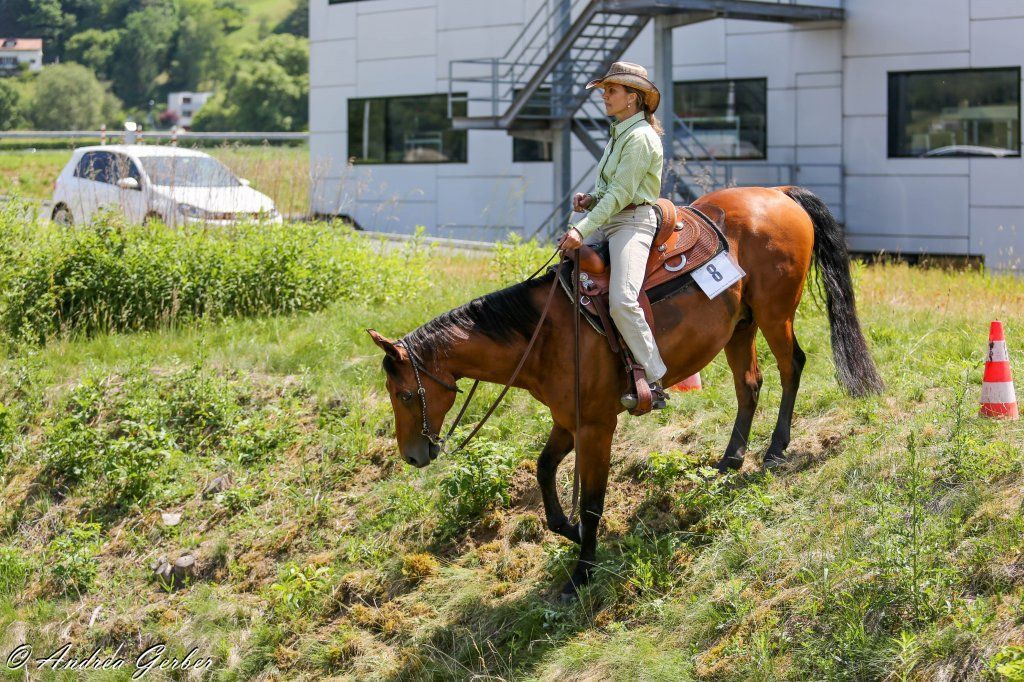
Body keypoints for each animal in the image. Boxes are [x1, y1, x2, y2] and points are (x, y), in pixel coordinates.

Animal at [367, 185, 884, 600]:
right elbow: (544, 470)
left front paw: (580, 574)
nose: (412, 456)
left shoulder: (597, 426)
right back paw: (729, 461)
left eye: (405, 395)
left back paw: (776, 449)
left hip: (776, 313)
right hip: (741, 325)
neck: (546, 332)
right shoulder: (568, 419)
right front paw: (570, 530)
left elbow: (594, 500)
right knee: (749, 385)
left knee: (791, 366)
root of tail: (778, 192)